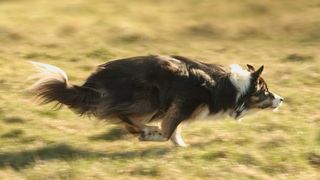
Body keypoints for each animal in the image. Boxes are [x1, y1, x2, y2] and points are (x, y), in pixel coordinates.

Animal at [30, 54, 282, 146]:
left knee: (125, 118)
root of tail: (95, 78)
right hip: (148, 97)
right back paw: (145, 130)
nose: (281, 99)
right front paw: (156, 136)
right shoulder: (182, 103)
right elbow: (167, 130)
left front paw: (179, 145)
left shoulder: (176, 109)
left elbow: (174, 130)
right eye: (266, 90)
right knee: (124, 115)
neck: (232, 87)